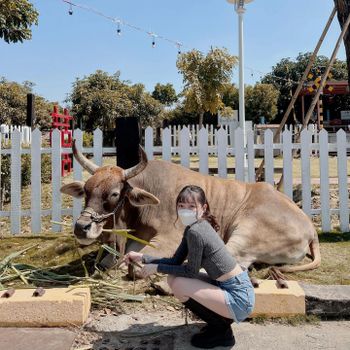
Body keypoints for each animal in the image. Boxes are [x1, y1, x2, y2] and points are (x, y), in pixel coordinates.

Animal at [60, 142, 320, 276]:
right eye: (86, 190)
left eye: (114, 194)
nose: (81, 227)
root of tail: (310, 228)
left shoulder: (171, 239)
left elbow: (134, 264)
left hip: (247, 232)